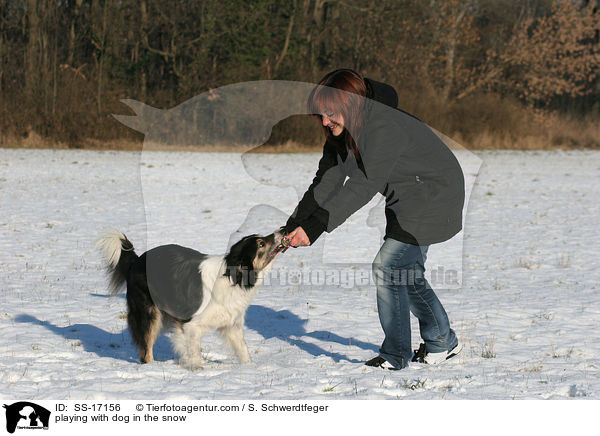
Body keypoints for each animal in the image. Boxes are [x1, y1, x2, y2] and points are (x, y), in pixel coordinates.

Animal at [97, 230, 284, 370]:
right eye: (261, 243)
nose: (282, 230)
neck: (232, 277)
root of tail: (136, 261)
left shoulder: (232, 325)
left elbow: (242, 348)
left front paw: (249, 368)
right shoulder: (191, 324)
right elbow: (194, 350)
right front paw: (197, 369)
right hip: (149, 313)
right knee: (146, 349)